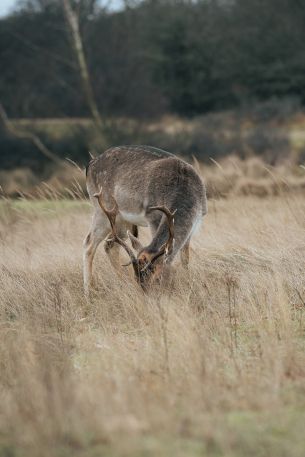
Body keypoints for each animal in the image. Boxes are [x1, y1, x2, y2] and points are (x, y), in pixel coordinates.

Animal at [83, 146, 207, 294]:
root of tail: (89, 164)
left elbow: (185, 258)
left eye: (157, 277)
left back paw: (123, 282)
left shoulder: (195, 224)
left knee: (110, 246)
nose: (145, 293)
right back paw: (88, 291)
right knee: (89, 243)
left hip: (120, 219)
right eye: (138, 278)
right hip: (101, 209)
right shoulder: (153, 216)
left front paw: (188, 282)